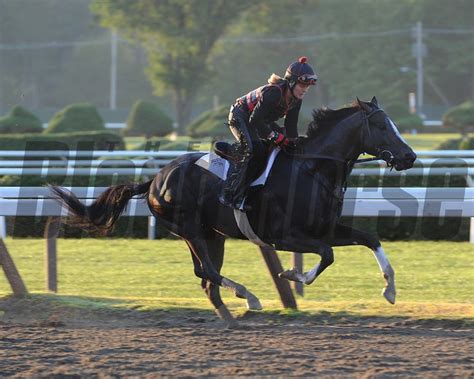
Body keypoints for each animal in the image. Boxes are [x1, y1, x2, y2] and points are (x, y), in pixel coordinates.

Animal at [51, 99, 414, 328]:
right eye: (381, 125)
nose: (409, 156)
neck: (312, 169)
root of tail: (155, 179)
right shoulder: (282, 236)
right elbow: (326, 255)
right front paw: (292, 275)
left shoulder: (324, 228)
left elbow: (370, 238)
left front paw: (390, 291)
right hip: (190, 229)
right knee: (208, 272)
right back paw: (249, 297)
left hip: (212, 235)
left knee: (205, 278)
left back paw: (229, 317)